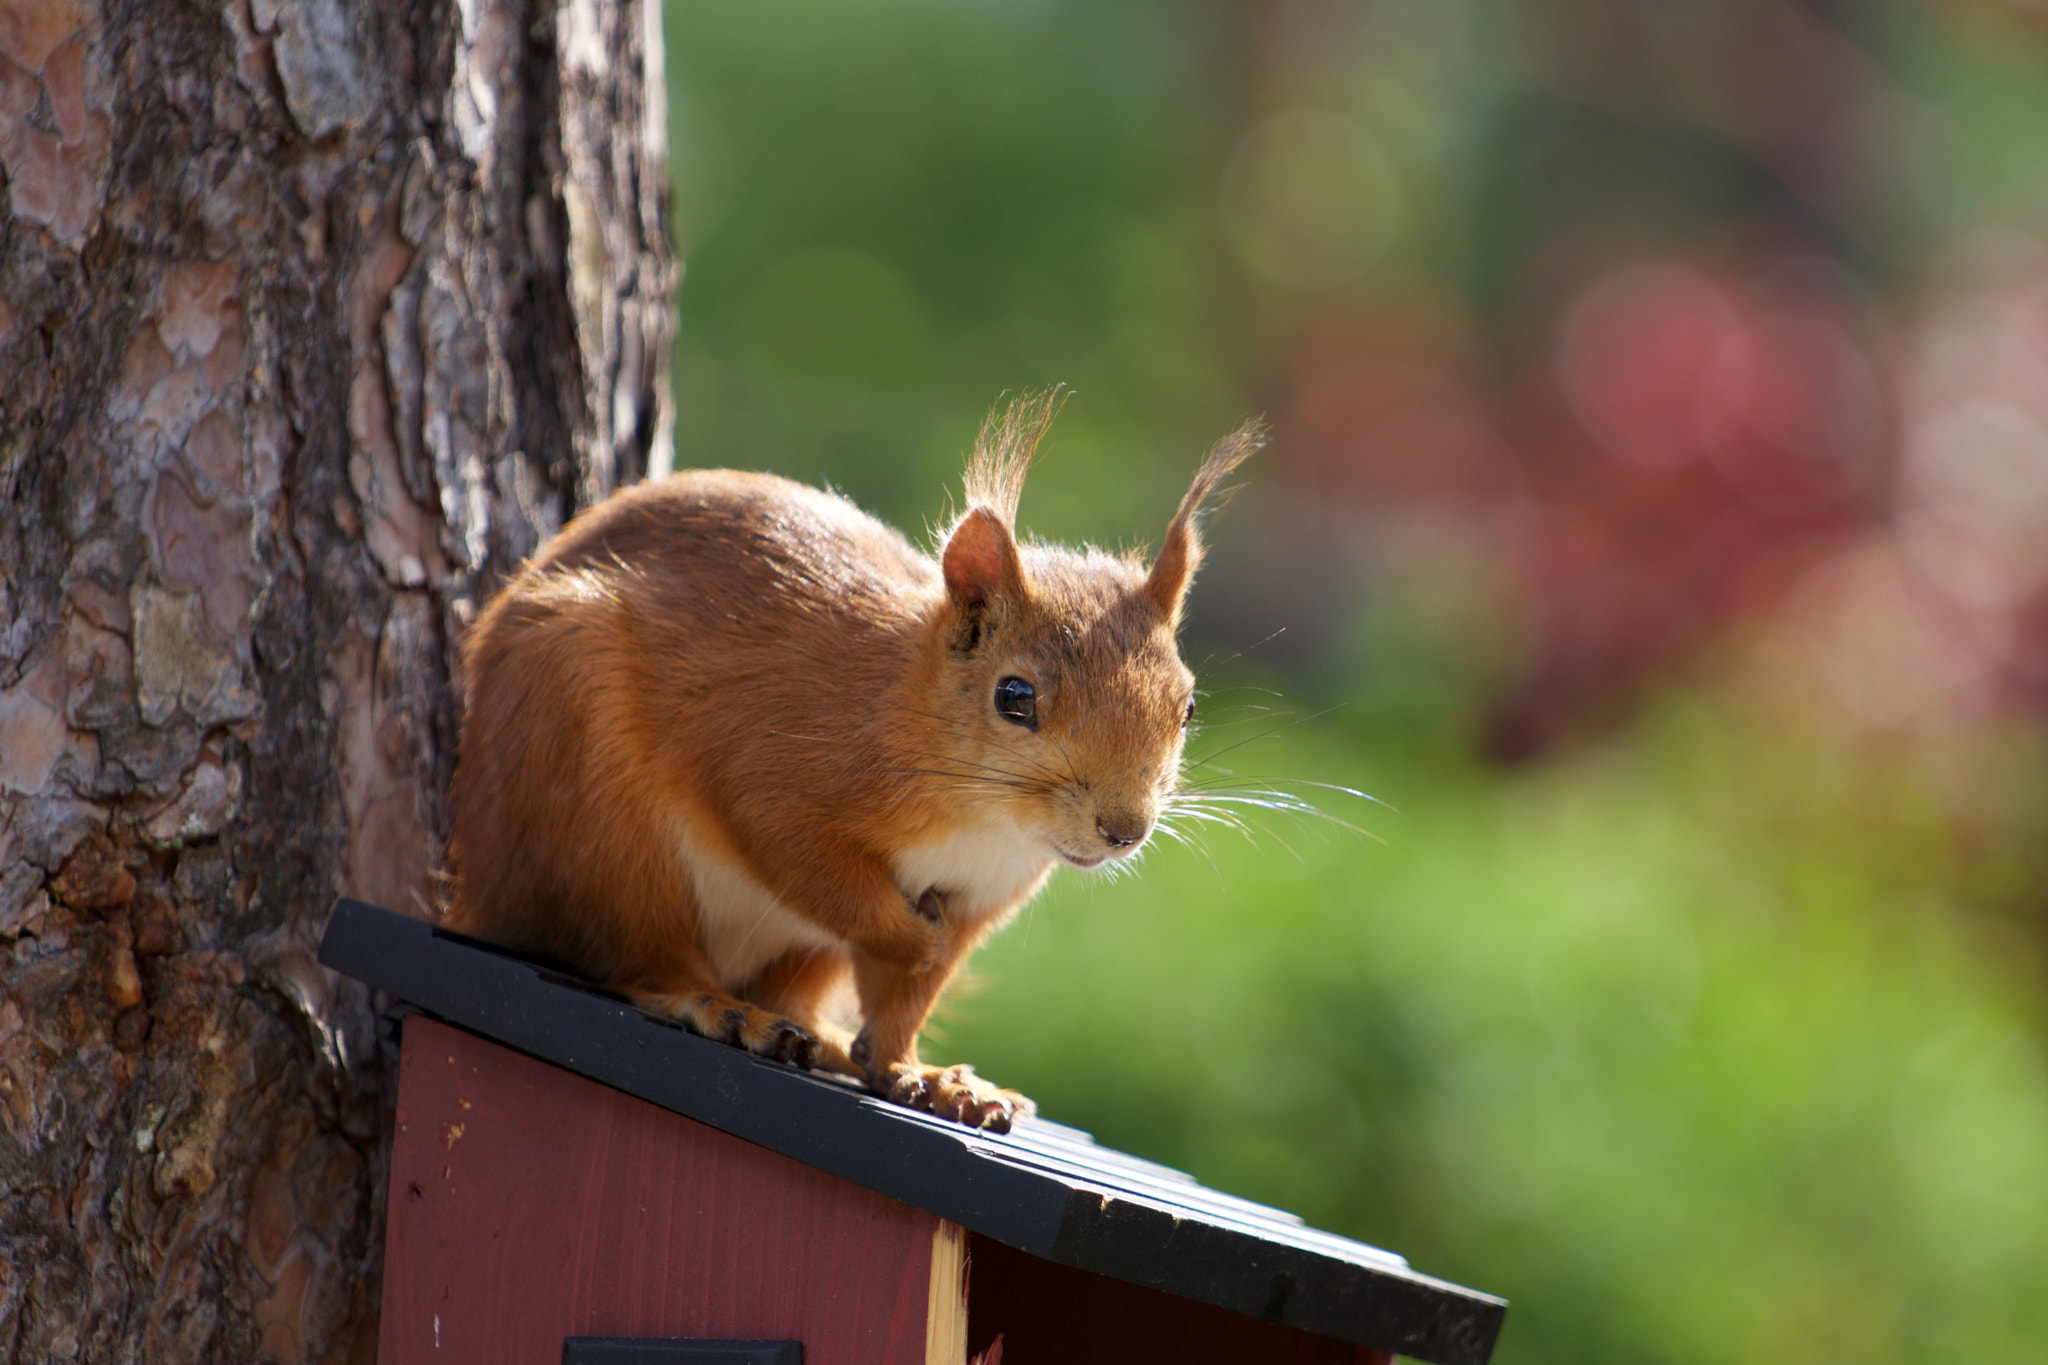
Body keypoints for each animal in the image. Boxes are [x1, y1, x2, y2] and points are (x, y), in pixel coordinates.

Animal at [443, 392, 1262, 1131]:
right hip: (595, 806)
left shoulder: (982, 892)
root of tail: (479, 885)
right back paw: (720, 1008)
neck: (985, 820)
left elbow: (905, 1003)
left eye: (1188, 705)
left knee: (793, 997)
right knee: (644, 955)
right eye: (1015, 696)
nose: (1124, 829)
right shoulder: (779, 769)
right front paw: (917, 938)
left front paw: (922, 1073)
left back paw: (834, 1043)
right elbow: (813, 868)